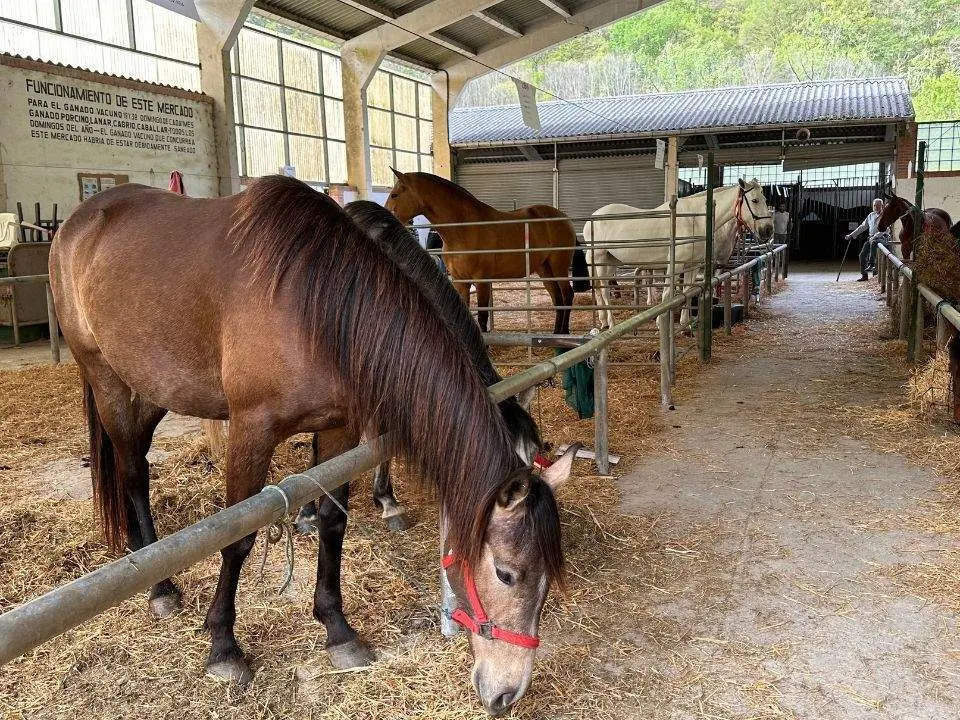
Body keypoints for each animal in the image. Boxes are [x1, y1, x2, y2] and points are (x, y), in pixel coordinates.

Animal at [385, 170, 578, 335]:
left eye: (395, 194)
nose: (385, 216)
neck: (465, 228)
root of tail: (564, 218)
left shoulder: (482, 280)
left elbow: (483, 317)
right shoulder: (460, 281)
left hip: (559, 267)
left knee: (567, 295)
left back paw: (563, 333)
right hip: (544, 269)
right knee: (558, 300)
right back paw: (555, 333)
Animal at [584, 179, 774, 329]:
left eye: (765, 199)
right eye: (755, 200)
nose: (768, 230)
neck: (695, 219)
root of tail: (592, 218)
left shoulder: (692, 266)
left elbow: (687, 291)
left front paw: (685, 324)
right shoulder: (676, 265)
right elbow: (668, 295)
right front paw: (661, 323)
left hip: (611, 261)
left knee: (600, 289)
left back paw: (604, 322)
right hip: (600, 259)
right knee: (604, 290)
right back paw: (612, 323)